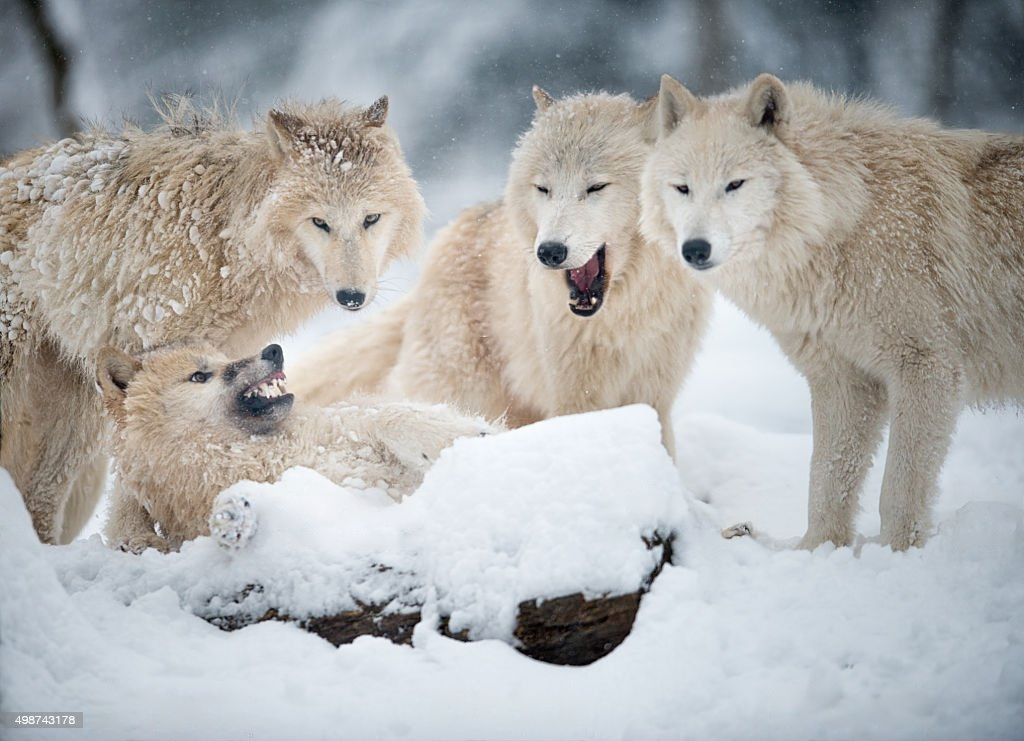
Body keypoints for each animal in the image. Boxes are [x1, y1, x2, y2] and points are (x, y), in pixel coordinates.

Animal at [0, 92, 423, 544]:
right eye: (320, 222)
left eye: (371, 218)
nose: (352, 297)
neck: (226, 243)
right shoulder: (149, 347)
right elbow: (136, 469)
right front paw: (135, 542)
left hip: (78, 412)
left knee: (41, 494)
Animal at [97, 337, 493, 552]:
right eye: (199, 376)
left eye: (224, 359)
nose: (274, 350)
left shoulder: (352, 420)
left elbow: (394, 419)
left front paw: (474, 438)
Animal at [288, 86, 712, 456]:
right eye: (543, 189)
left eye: (596, 187)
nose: (549, 252)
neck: (622, 316)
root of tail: (455, 229)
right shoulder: (576, 400)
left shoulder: (655, 399)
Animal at [638, 73, 1024, 548]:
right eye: (683, 187)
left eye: (735, 184)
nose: (695, 249)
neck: (844, 220)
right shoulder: (843, 380)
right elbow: (826, 479)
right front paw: (816, 552)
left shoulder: (927, 370)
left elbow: (898, 492)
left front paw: (896, 554)